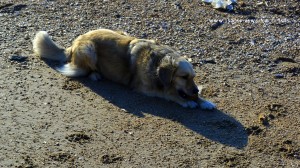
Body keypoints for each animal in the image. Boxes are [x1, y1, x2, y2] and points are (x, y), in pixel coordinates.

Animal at [32, 28, 216, 109]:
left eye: (193, 77)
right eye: (184, 77)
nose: (195, 90)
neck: (157, 64)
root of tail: (74, 43)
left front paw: (203, 101)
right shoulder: (144, 88)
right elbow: (169, 93)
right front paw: (187, 101)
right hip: (89, 50)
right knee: (83, 70)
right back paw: (95, 75)